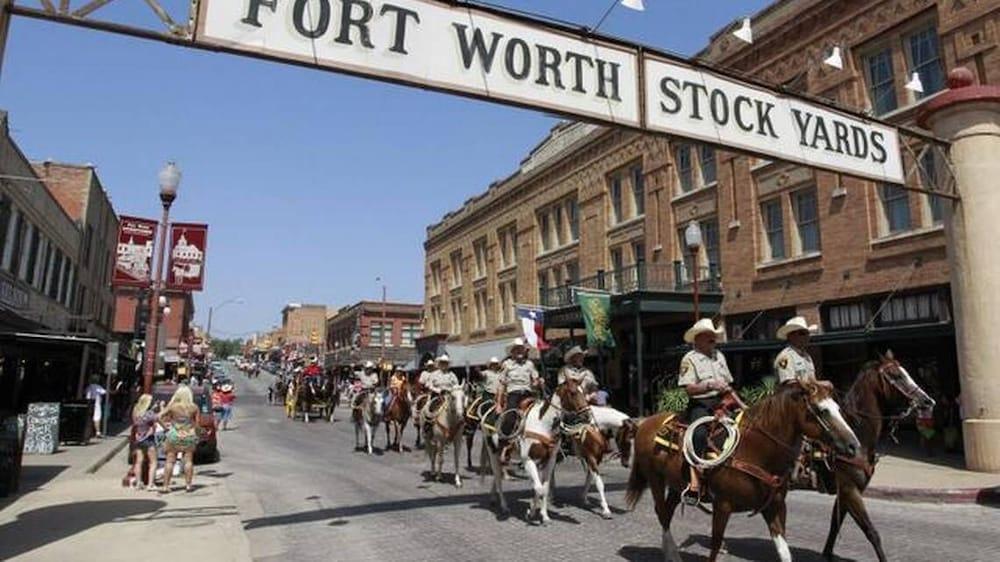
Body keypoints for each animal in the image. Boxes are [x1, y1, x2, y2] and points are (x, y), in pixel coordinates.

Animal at [624, 380, 860, 560]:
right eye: (822, 410)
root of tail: (645, 423)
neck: (754, 450)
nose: (853, 445)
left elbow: (784, 552)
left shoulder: (775, 507)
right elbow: (715, 546)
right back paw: (672, 553)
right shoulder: (722, 506)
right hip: (655, 479)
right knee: (662, 513)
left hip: (676, 485)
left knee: (668, 510)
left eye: (838, 409)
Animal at [824, 350, 932, 560]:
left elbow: (835, 523)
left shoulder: (847, 491)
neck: (856, 435)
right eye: (897, 376)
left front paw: (826, 553)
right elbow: (871, 532)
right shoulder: (850, 489)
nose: (928, 401)